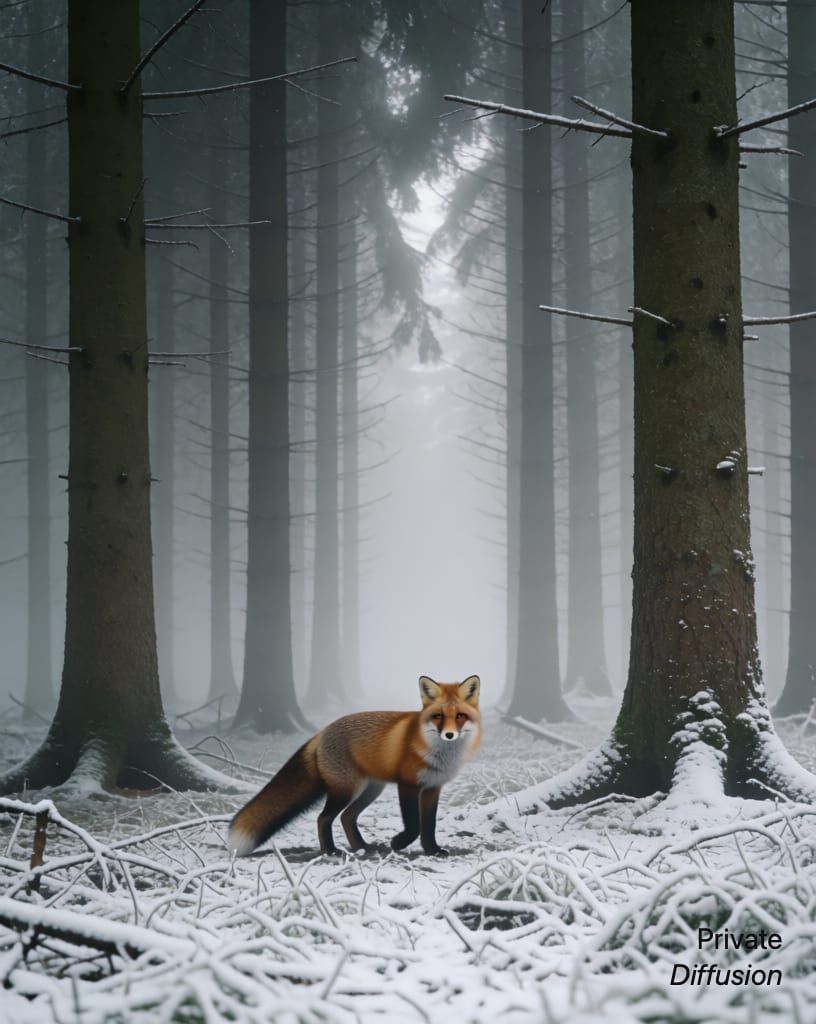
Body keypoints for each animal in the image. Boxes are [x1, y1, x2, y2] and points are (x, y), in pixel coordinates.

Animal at [228, 675, 482, 858]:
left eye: (460, 716)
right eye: (438, 716)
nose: (449, 735)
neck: (439, 754)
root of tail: (322, 732)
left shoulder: (432, 788)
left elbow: (428, 825)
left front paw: (432, 850)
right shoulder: (408, 784)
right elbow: (413, 825)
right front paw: (398, 842)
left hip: (370, 790)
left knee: (346, 817)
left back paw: (362, 847)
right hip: (346, 790)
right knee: (323, 818)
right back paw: (330, 851)